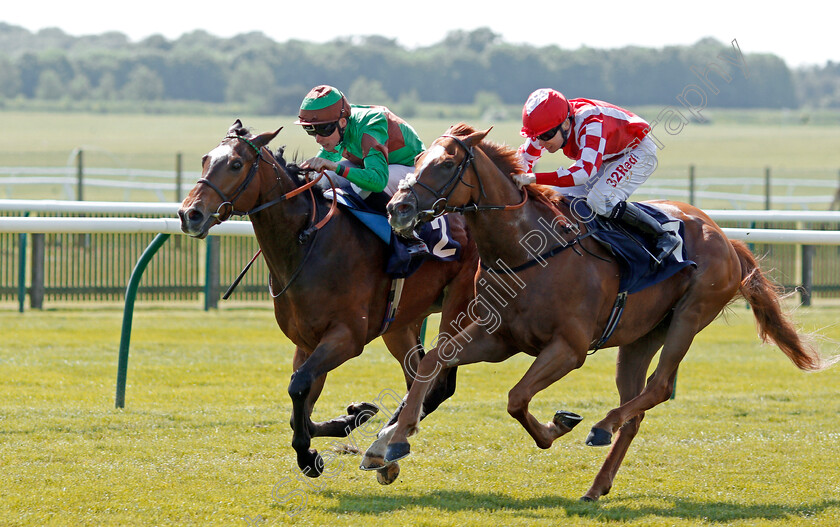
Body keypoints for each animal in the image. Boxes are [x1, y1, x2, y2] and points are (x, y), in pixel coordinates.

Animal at [177, 121, 480, 484]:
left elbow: (298, 386)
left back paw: (383, 447)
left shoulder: (346, 337)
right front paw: (353, 416)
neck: (308, 243)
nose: (190, 214)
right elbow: (301, 399)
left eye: (236, 164)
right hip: (400, 323)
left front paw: (308, 455)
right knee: (418, 379)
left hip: (458, 306)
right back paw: (386, 448)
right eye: (206, 159)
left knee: (437, 384)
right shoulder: (308, 341)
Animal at [382, 121, 832, 502]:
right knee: (636, 410)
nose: (397, 208)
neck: (525, 253)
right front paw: (397, 440)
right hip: (640, 337)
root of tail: (724, 236)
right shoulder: (497, 338)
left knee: (659, 387)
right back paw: (597, 483)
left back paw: (602, 426)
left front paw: (558, 426)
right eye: (417, 161)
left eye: (447, 163)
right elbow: (434, 361)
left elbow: (516, 396)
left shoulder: (569, 348)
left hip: (690, 316)